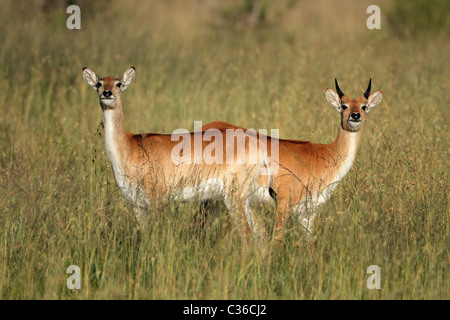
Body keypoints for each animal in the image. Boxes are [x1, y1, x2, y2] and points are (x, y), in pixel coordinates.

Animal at [82, 67, 268, 240]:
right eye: (99, 83)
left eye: (118, 83)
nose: (107, 93)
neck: (130, 147)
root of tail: (258, 145)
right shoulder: (136, 205)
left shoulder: (156, 201)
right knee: (260, 231)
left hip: (234, 197)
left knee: (247, 234)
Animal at [202, 80, 382, 242]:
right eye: (344, 106)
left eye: (364, 106)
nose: (355, 116)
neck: (326, 155)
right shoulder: (283, 204)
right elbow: (277, 239)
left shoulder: (308, 213)